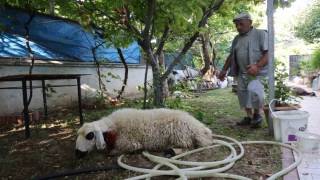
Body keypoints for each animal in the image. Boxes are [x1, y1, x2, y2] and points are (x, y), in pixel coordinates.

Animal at [75, 108, 212, 158]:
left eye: (90, 135)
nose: (77, 153)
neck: (113, 126)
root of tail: (202, 130)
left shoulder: (130, 143)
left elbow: (113, 151)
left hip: (180, 134)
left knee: (191, 146)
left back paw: (171, 151)